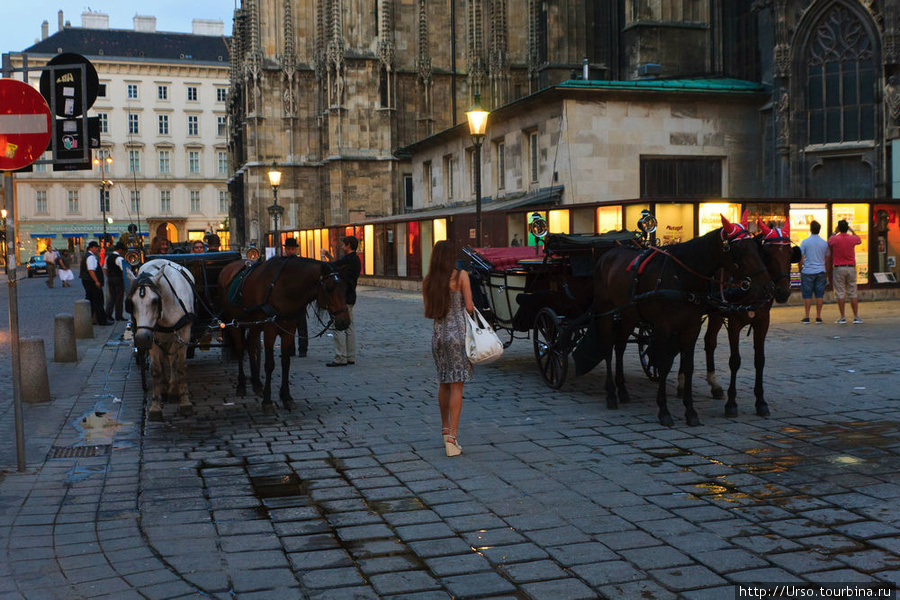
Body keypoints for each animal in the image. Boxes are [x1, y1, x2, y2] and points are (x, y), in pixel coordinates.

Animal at [125, 258, 196, 422]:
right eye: (131, 303)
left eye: (155, 301)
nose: (141, 339)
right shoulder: (152, 337)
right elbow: (156, 369)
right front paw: (155, 406)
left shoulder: (183, 334)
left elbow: (180, 366)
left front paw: (184, 401)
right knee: (164, 361)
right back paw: (165, 388)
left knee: (171, 360)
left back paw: (172, 389)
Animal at [218, 255, 352, 410]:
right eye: (329, 289)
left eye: (346, 288)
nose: (345, 322)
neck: (283, 288)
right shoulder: (269, 329)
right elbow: (269, 364)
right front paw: (267, 400)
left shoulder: (289, 329)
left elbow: (286, 362)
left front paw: (286, 397)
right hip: (235, 323)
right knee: (240, 350)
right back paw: (241, 385)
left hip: (254, 324)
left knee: (251, 346)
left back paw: (256, 383)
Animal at [596, 216, 768, 426]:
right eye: (741, 249)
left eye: (757, 247)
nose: (767, 285)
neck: (681, 276)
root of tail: (610, 252)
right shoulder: (663, 327)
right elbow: (663, 364)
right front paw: (664, 411)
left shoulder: (691, 327)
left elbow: (689, 366)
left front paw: (690, 411)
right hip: (606, 311)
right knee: (608, 348)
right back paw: (611, 394)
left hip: (629, 313)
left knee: (619, 346)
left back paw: (622, 391)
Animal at [688, 219, 800, 418]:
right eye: (768, 253)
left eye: (789, 252)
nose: (783, 291)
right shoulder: (734, 323)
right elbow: (735, 361)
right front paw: (732, 404)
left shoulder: (762, 321)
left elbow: (760, 360)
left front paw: (761, 402)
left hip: (716, 313)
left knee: (710, 342)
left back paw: (714, 385)